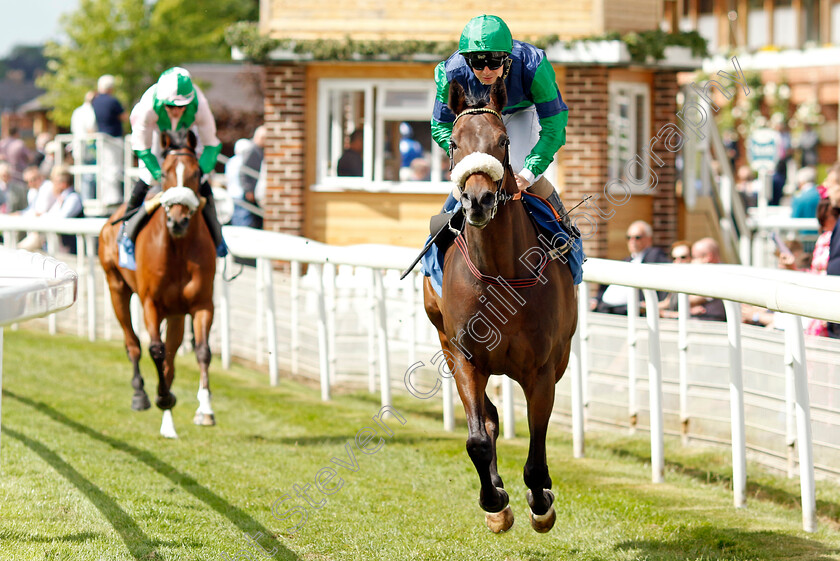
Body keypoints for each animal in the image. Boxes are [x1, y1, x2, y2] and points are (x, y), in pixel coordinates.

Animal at [99, 130, 218, 438]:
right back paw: (141, 394)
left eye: (195, 173)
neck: (177, 248)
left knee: (172, 357)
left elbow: (202, 351)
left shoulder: (201, 304)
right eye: (164, 174)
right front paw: (162, 397)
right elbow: (155, 349)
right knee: (133, 344)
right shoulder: (150, 303)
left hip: (175, 313)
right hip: (117, 288)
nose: (178, 221)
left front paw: (205, 410)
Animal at [426, 79, 576, 532]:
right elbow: (477, 437)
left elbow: (537, 444)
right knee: (489, 418)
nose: (478, 200)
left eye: (504, 141)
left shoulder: (542, 369)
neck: (500, 273)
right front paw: (494, 502)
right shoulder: (465, 357)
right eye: (454, 143)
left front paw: (541, 503)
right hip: (444, 341)